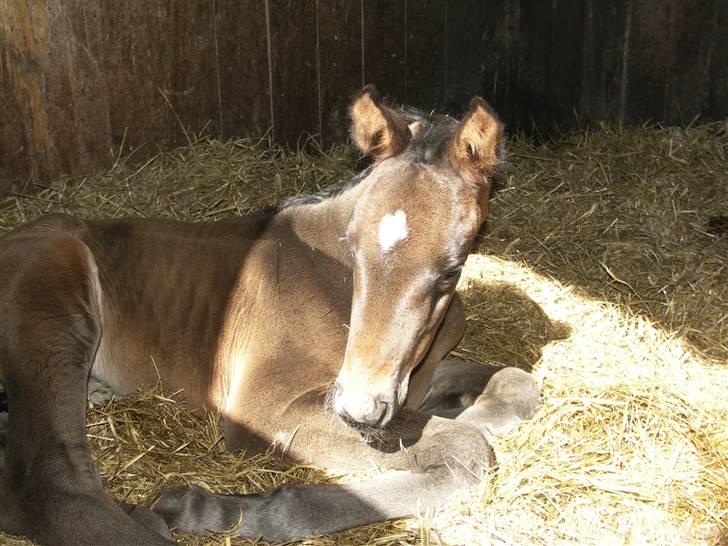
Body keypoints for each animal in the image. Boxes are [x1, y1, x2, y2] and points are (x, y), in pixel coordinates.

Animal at [0, 87, 541, 544]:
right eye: (353, 248)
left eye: (451, 270)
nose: (359, 409)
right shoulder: (265, 409)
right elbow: (466, 448)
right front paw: (225, 511)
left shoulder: (409, 378)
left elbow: (515, 385)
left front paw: (464, 408)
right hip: (56, 301)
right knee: (51, 485)